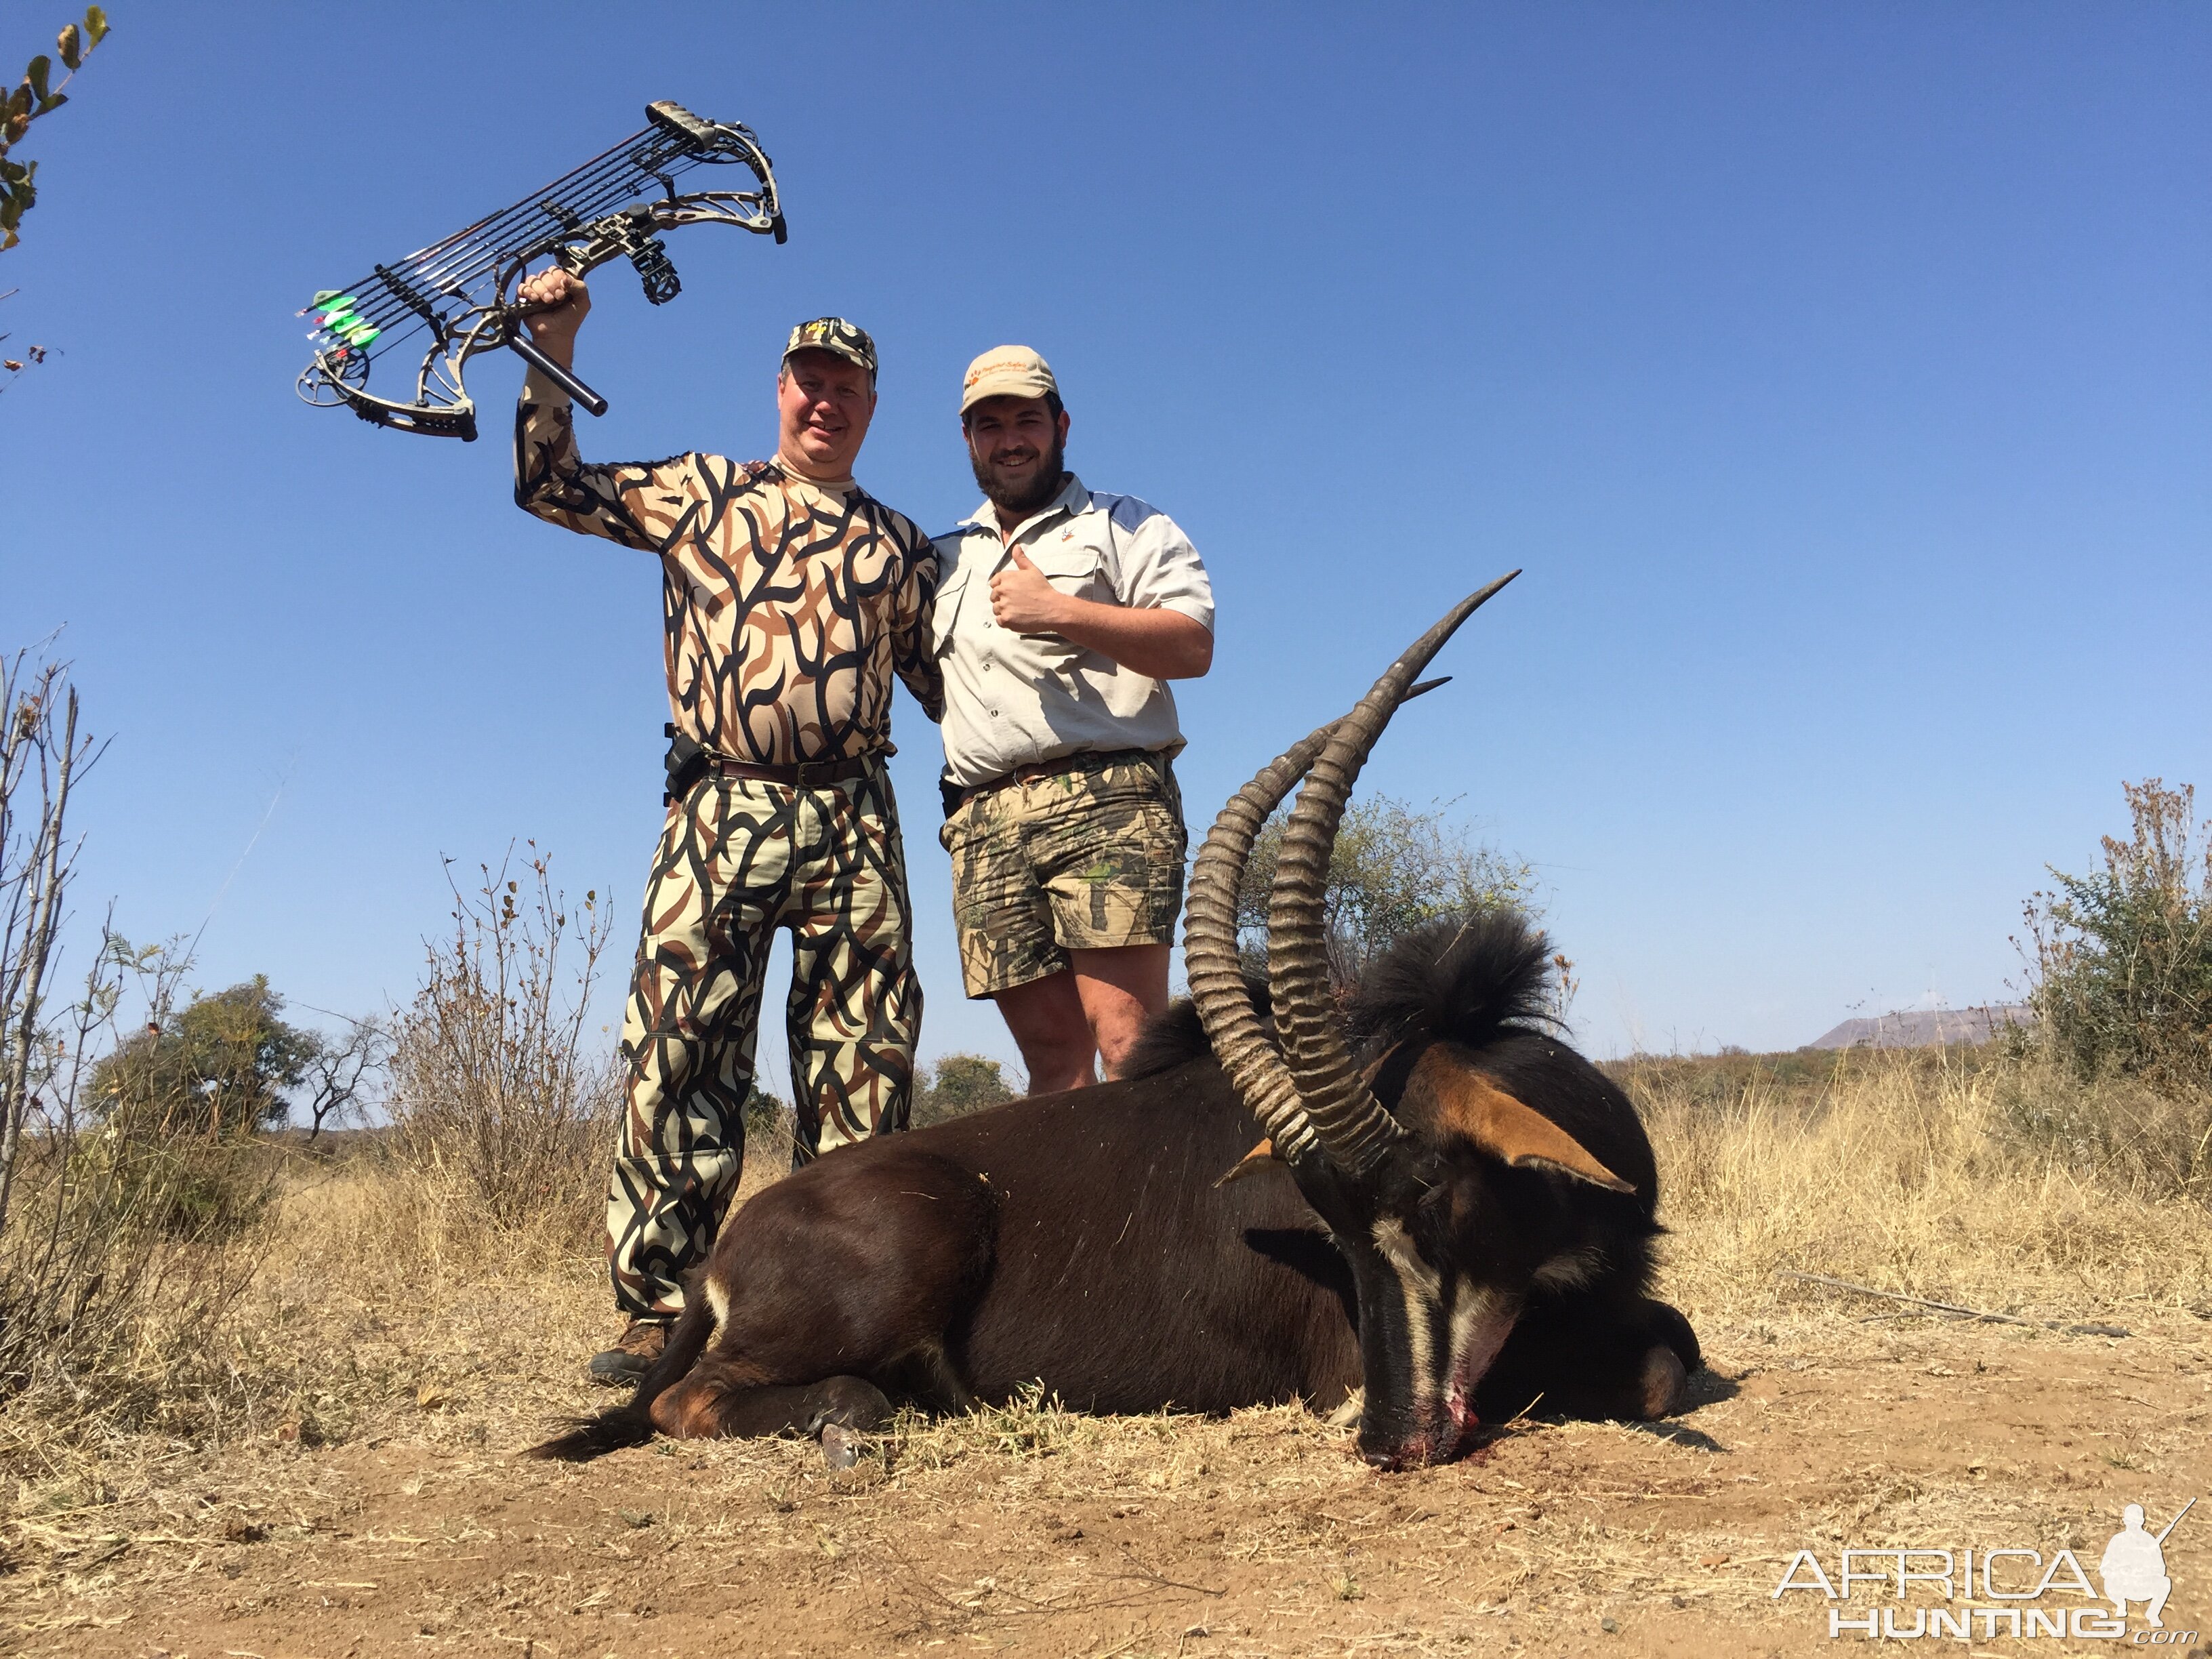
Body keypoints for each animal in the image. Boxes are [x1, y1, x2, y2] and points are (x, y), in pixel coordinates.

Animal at [531, 579, 1689, 1469]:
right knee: (693, 1400)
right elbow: (1652, 1368)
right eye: (1337, 1230)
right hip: (915, 1243)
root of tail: (725, 1252)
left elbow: (1669, 1347)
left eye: (1434, 1200)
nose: (1385, 1437)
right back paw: (853, 1420)